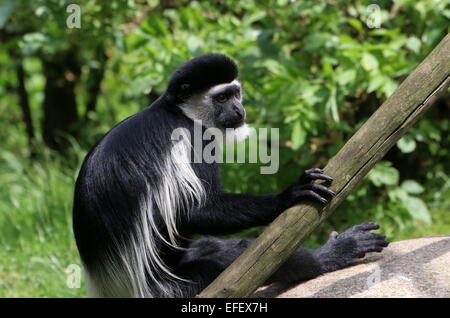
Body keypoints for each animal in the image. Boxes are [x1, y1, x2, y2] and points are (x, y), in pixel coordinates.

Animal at [72, 52, 388, 298]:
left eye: (235, 93)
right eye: (222, 97)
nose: (239, 109)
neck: (178, 112)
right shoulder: (193, 141)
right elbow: (196, 211)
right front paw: (288, 195)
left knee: (212, 246)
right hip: (179, 285)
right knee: (239, 256)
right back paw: (334, 253)